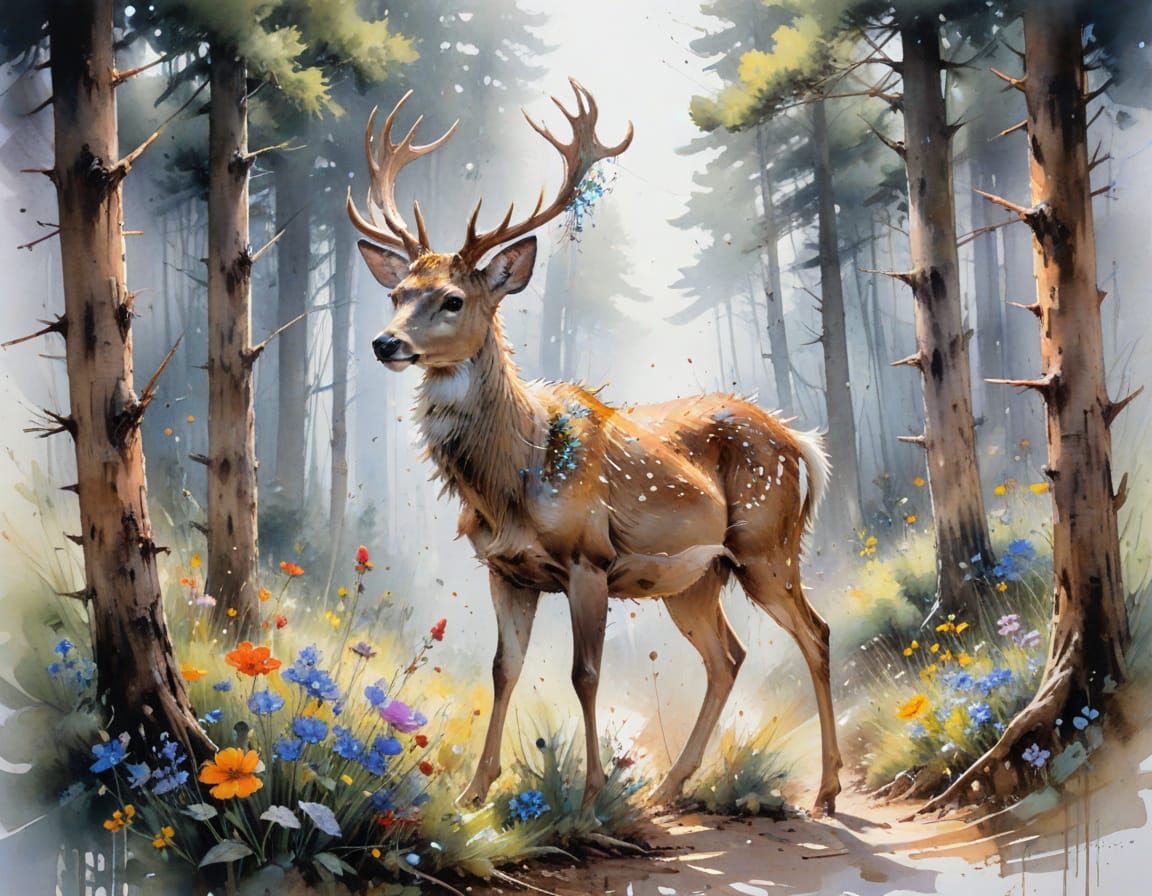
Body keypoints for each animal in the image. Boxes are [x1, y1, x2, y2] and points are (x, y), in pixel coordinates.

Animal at [347, 80, 842, 816]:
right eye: (397, 293)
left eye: (452, 299)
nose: (386, 343)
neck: (510, 483)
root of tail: (801, 442)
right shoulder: (505, 569)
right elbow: (504, 669)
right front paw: (475, 791)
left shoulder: (590, 557)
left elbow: (584, 673)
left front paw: (589, 797)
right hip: (696, 578)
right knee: (727, 657)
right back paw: (668, 787)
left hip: (766, 543)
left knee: (816, 633)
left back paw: (828, 789)